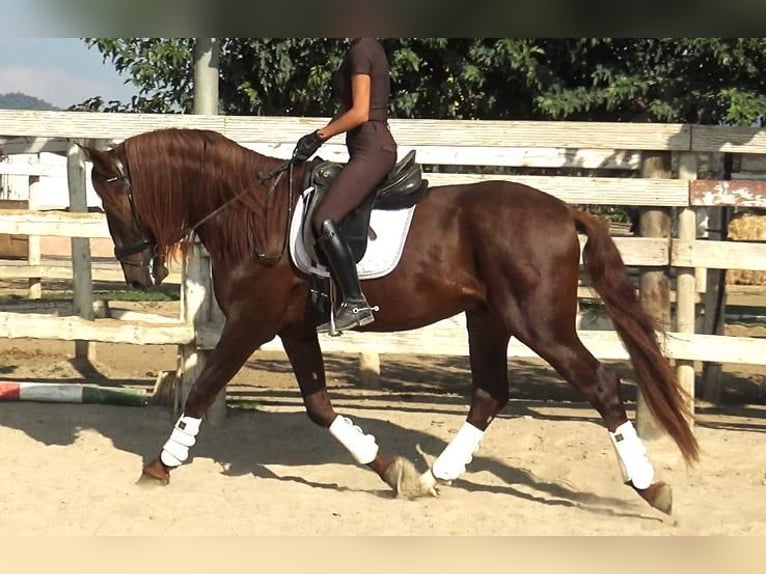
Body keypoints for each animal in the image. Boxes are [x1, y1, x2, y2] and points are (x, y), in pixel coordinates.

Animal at [81, 128, 700, 516]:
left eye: (113, 202)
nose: (138, 273)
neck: (251, 212)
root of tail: (564, 210)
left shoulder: (252, 322)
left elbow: (203, 389)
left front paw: (161, 464)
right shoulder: (293, 326)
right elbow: (319, 406)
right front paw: (389, 469)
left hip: (538, 324)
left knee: (600, 385)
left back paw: (651, 489)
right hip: (488, 318)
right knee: (489, 394)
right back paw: (432, 478)